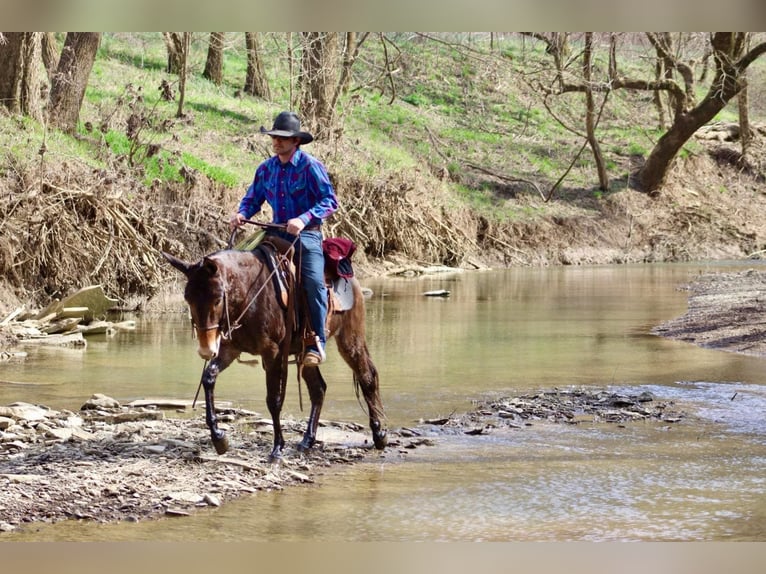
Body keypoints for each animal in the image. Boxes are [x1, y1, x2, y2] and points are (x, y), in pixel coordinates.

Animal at [162, 245, 388, 460]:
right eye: (187, 298)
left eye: (217, 299)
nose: (206, 349)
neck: (249, 294)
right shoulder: (230, 349)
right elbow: (208, 379)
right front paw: (219, 438)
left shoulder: (272, 353)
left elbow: (274, 399)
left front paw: (277, 448)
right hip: (304, 354)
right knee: (318, 389)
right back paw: (307, 441)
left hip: (350, 339)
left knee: (367, 376)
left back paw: (379, 435)